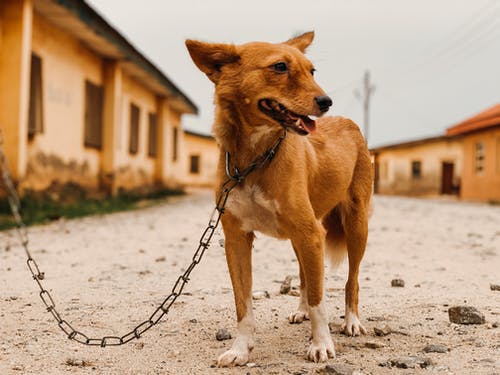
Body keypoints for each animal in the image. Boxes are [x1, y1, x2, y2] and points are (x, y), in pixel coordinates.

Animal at [186, 31, 374, 368]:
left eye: (312, 71)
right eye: (280, 67)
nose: (326, 101)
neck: (255, 158)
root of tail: (349, 121)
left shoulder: (311, 233)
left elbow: (320, 300)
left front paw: (321, 344)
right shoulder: (236, 239)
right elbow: (243, 303)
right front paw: (240, 349)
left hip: (355, 225)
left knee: (350, 280)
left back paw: (352, 321)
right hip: (302, 238)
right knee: (305, 276)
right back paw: (301, 310)